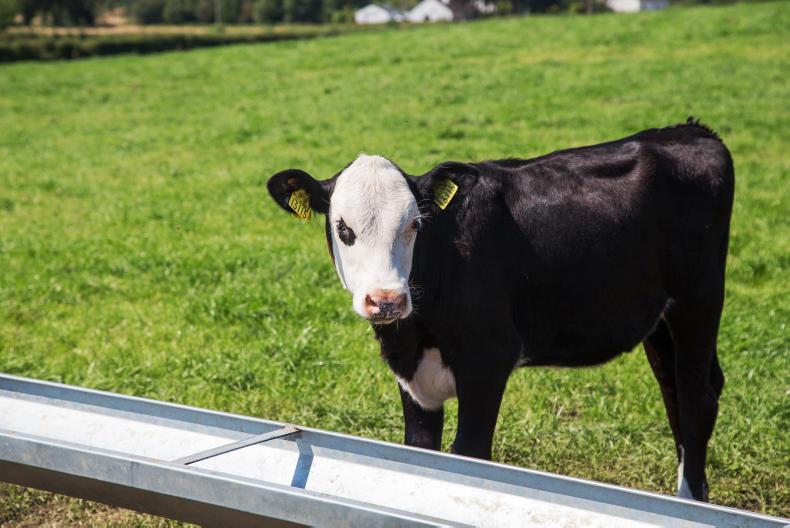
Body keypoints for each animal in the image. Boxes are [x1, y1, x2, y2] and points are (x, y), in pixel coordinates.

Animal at [266, 119, 734, 502]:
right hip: (660, 319)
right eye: (343, 228)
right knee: (674, 390)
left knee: (696, 395)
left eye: (415, 224)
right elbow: (420, 454)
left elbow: (470, 456)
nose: (387, 300)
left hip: (700, 296)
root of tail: (689, 131)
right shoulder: (412, 377)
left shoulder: (487, 361)